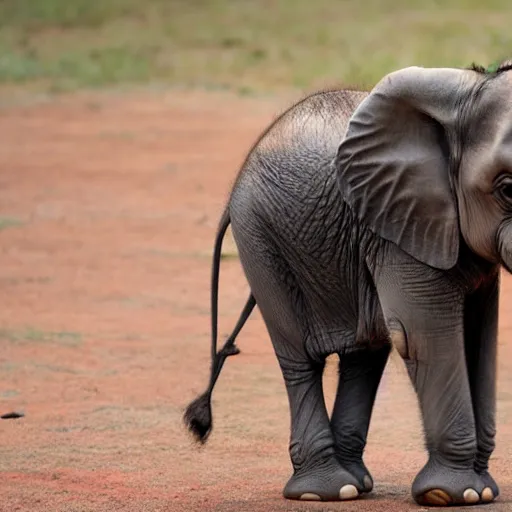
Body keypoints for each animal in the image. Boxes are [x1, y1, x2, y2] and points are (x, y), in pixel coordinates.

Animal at [185, 62, 512, 506]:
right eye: (508, 189)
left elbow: (480, 339)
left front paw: (483, 491)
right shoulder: (397, 227)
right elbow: (419, 336)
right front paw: (455, 496)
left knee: (365, 351)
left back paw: (356, 484)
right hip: (260, 238)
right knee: (301, 358)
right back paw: (324, 491)